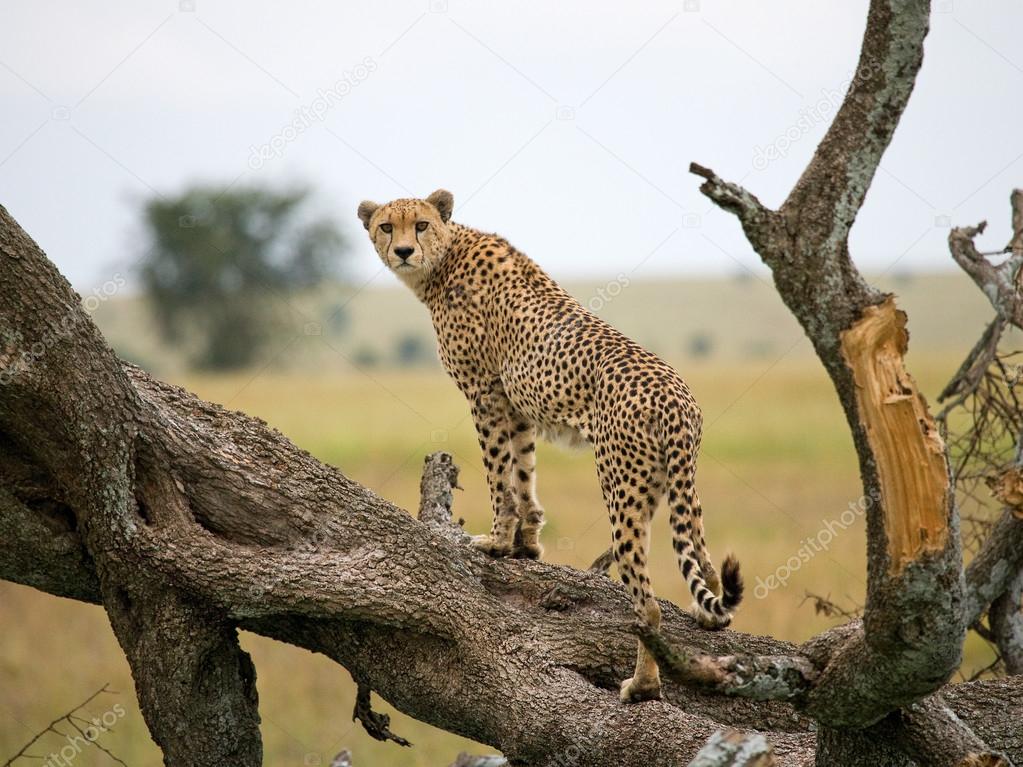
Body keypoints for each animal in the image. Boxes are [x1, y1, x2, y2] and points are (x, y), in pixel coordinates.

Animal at [357, 189, 743, 703]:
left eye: (420, 225)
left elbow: (498, 475)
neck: (443, 261)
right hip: (676, 483)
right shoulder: (518, 407)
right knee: (704, 561)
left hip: (621, 485)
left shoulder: (485, 393)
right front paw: (528, 543)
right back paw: (706, 617)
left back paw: (641, 685)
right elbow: (523, 472)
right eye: (386, 226)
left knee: (648, 606)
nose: (402, 251)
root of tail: (675, 395)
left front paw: (498, 542)